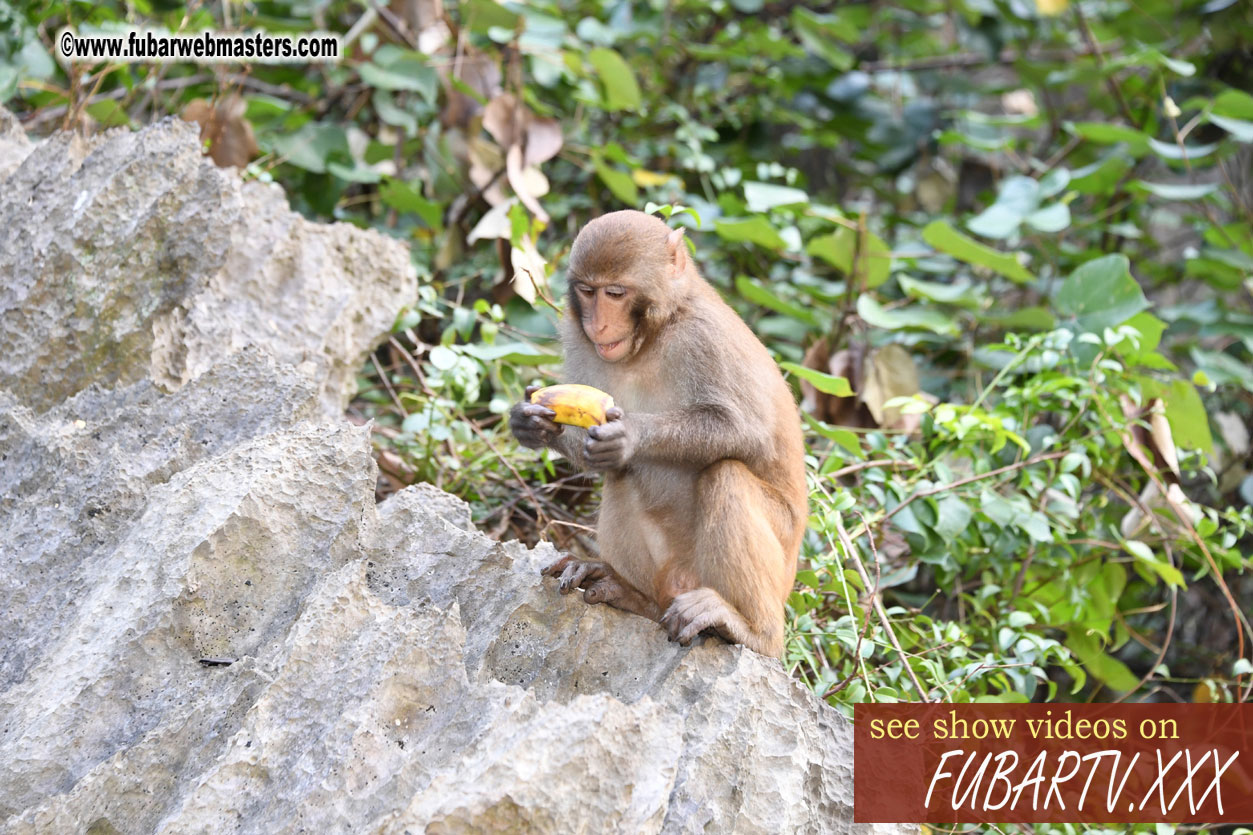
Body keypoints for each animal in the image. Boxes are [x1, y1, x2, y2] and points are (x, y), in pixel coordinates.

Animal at [511, 209, 811, 656]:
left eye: (615, 293)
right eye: (587, 291)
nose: (597, 324)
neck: (653, 336)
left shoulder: (705, 338)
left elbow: (748, 430)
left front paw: (630, 435)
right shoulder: (578, 341)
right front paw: (529, 424)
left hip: (777, 565)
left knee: (726, 474)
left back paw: (752, 630)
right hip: (665, 576)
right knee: (621, 475)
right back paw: (626, 590)